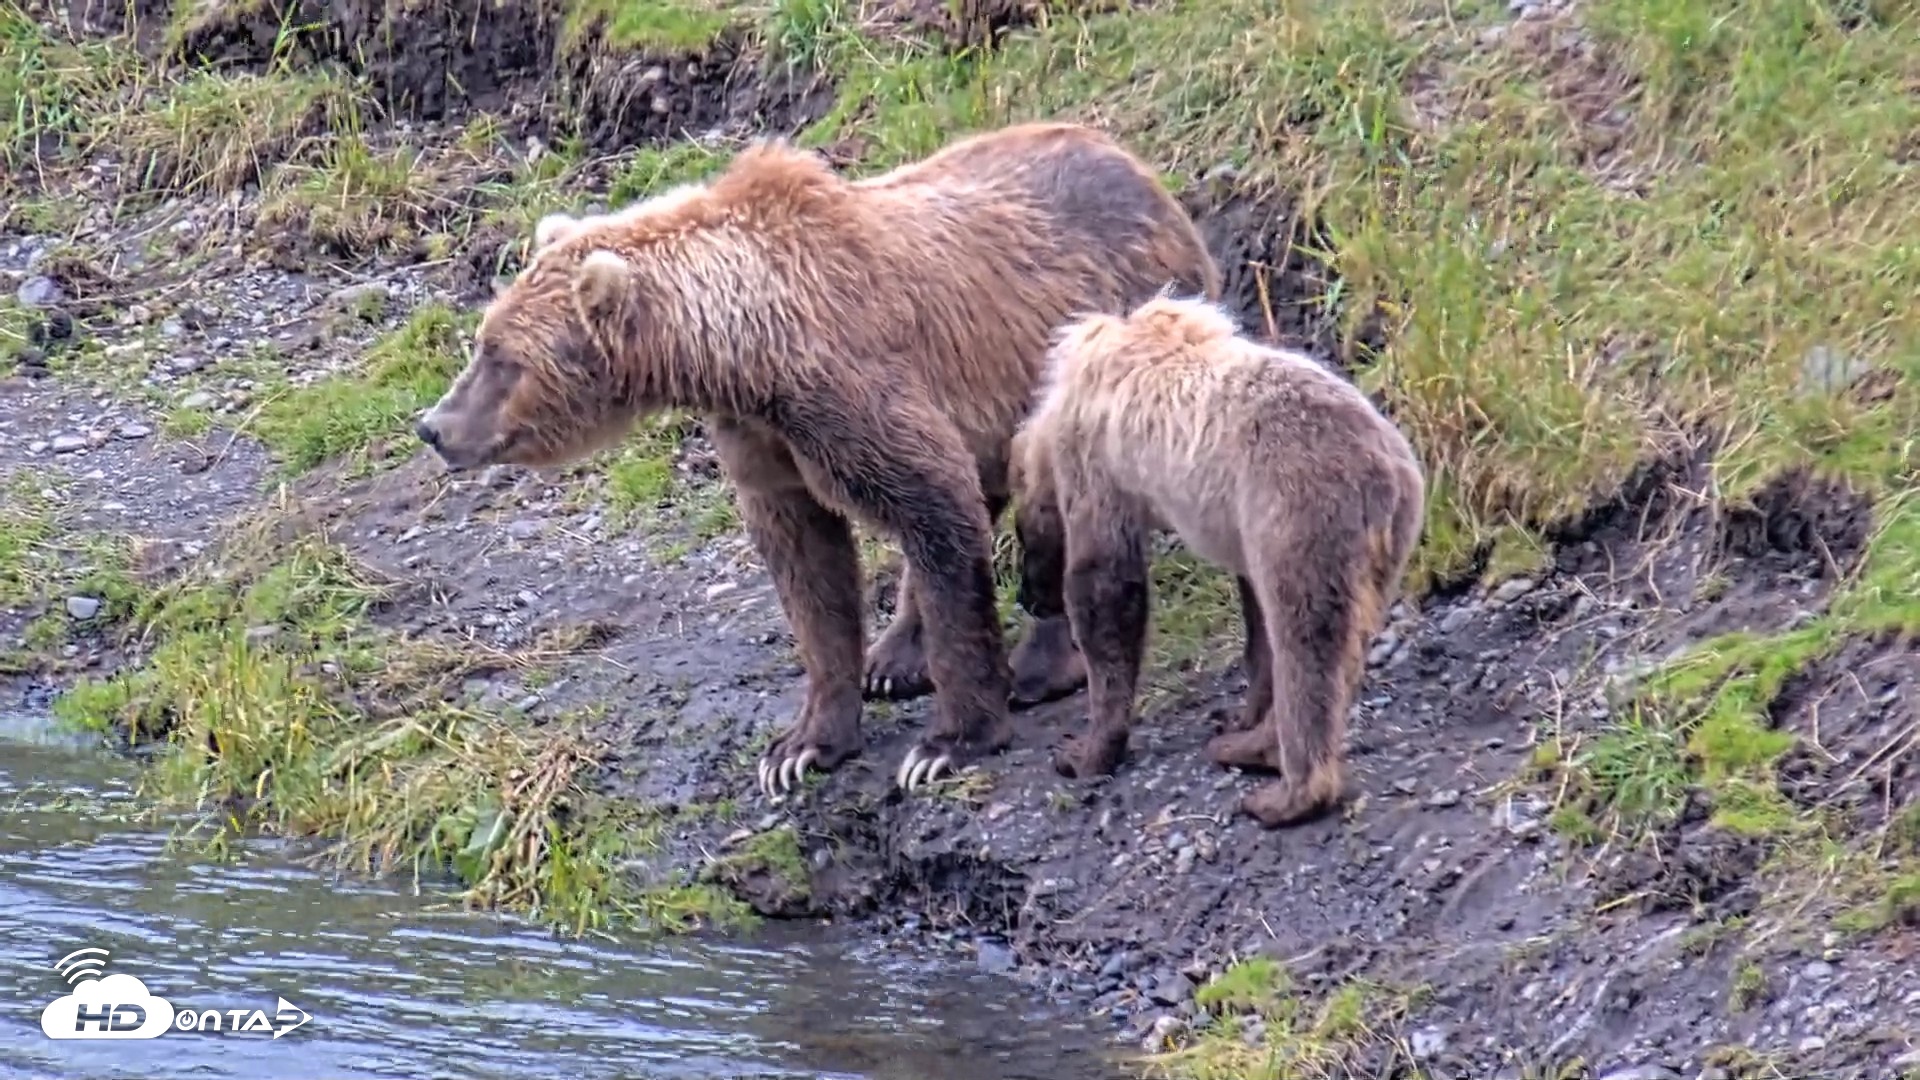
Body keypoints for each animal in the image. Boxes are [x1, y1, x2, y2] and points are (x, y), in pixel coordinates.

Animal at [412, 121, 1222, 799]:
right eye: (484, 340)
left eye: (502, 358)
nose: (433, 426)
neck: (742, 350)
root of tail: (1147, 175)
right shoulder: (765, 441)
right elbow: (811, 574)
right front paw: (804, 744)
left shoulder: (846, 390)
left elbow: (932, 503)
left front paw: (949, 742)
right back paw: (894, 658)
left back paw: (1041, 661)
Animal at [1011, 291, 1426, 828]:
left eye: (1023, 539)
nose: (1027, 596)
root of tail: (1386, 474)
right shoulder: (1243, 524)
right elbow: (1254, 616)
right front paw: (1238, 713)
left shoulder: (1097, 461)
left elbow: (1106, 586)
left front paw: (1083, 751)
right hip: (1379, 545)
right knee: (1332, 643)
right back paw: (1253, 743)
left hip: (1301, 505)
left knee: (1306, 640)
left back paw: (1283, 790)